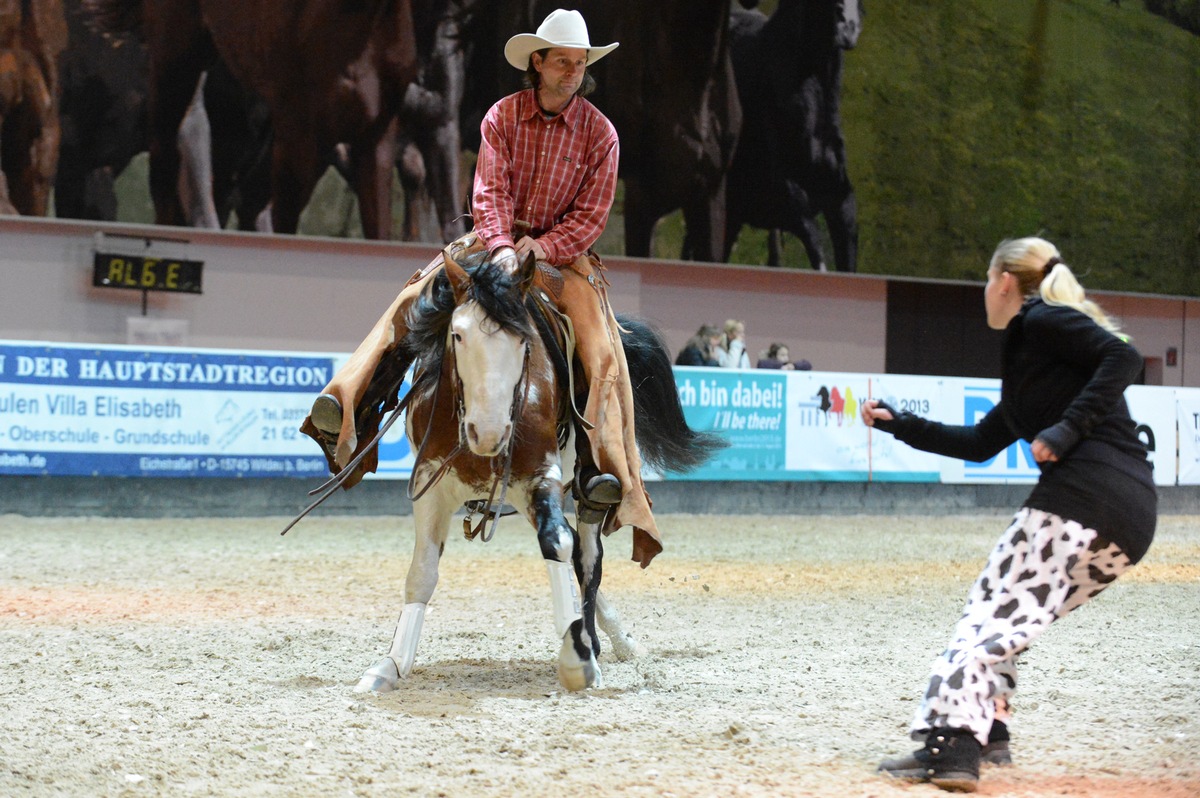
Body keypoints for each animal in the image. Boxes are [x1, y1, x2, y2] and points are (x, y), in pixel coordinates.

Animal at [343, 249, 724, 691]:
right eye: (457, 334)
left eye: (523, 339)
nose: (489, 431)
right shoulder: (430, 485)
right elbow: (421, 572)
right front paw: (389, 666)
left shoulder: (541, 476)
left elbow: (557, 544)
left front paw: (577, 657)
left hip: (585, 487)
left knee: (586, 555)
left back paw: (599, 639)